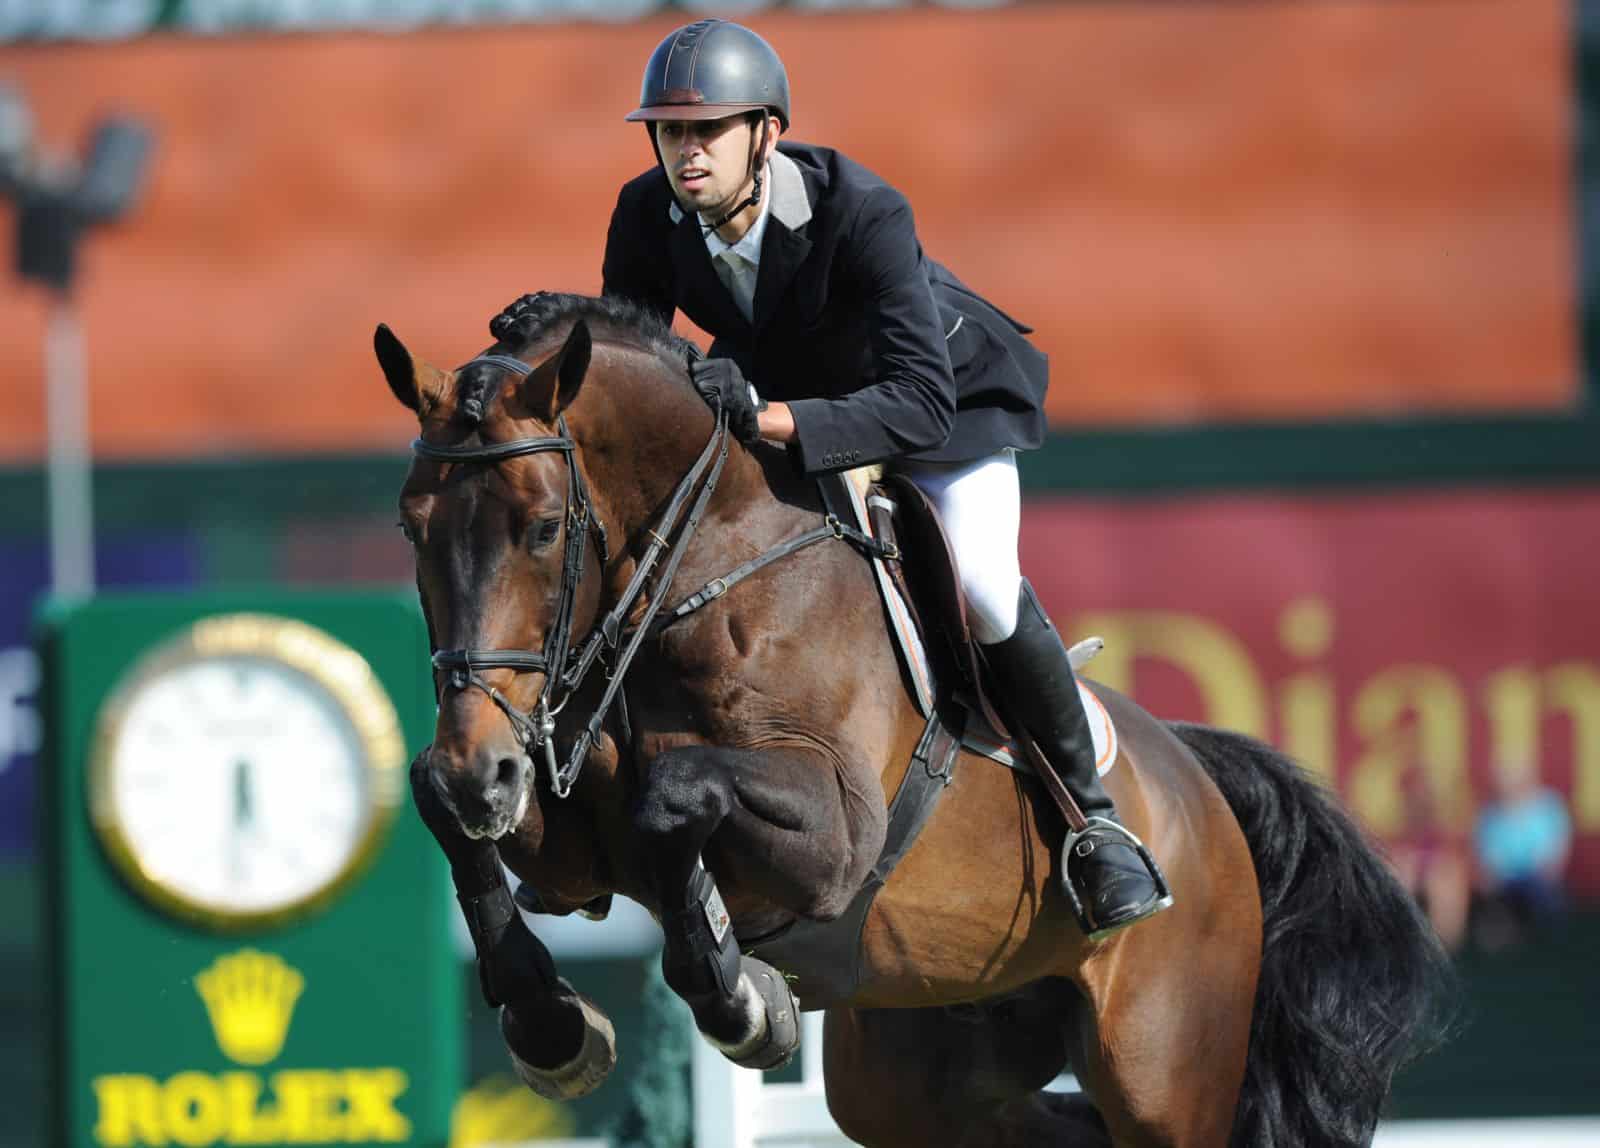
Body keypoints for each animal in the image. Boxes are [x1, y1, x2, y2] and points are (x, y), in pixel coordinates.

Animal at [375, 293, 1453, 1148]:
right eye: (409, 528)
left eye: (542, 529)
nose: (485, 769)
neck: (697, 570)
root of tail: (1196, 780)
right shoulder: (569, 854)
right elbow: (442, 799)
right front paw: (552, 1027)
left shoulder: (837, 835)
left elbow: (676, 796)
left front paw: (741, 999)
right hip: (926, 1066)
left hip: (1166, 1072)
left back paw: (1109, 864)